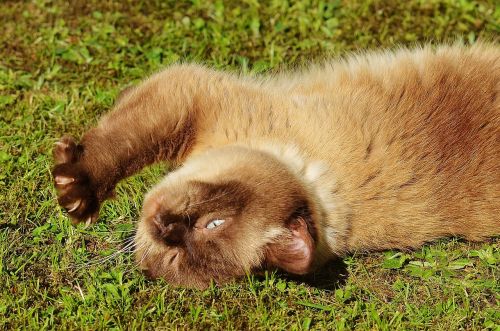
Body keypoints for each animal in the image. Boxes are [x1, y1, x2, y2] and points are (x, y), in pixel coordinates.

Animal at [52, 42, 498, 290]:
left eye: (173, 257)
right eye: (214, 222)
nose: (165, 227)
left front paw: (71, 193)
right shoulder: (189, 99)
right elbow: (119, 145)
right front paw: (75, 190)